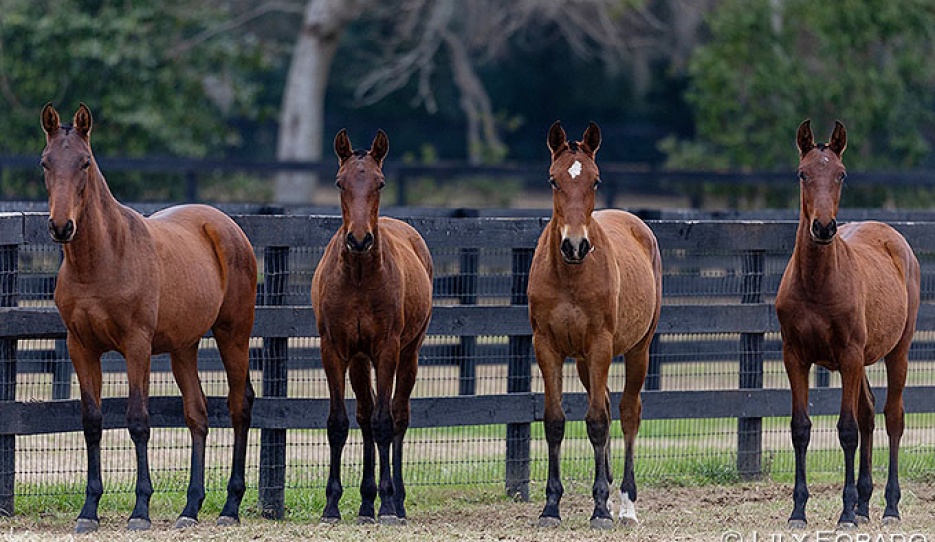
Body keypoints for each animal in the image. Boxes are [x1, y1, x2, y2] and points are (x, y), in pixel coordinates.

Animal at [40, 104, 257, 533]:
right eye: (45, 162)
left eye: (85, 163)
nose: (61, 226)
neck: (101, 260)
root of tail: (226, 225)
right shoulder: (80, 347)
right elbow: (92, 422)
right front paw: (88, 510)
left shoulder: (136, 346)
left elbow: (138, 420)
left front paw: (140, 510)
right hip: (184, 347)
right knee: (197, 414)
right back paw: (190, 508)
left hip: (233, 336)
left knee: (239, 406)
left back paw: (230, 506)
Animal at [311, 128, 433, 525]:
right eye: (340, 182)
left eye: (380, 183)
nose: (360, 239)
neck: (360, 277)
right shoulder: (334, 350)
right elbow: (339, 423)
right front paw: (332, 506)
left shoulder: (387, 349)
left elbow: (384, 421)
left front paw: (390, 504)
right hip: (360, 361)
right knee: (364, 416)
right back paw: (366, 503)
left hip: (408, 354)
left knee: (397, 417)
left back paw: (397, 501)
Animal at [527, 121, 662, 529]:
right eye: (553, 180)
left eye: (596, 180)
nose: (575, 245)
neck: (571, 275)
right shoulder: (547, 347)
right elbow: (555, 421)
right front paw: (551, 507)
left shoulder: (601, 345)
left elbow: (599, 423)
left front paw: (601, 509)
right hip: (586, 363)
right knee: (603, 402)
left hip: (637, 350)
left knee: (628, 412)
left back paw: (626, 505)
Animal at [776, 120, 920, 529]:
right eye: (802, 173)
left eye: (841, 174)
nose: (824, 228)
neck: (816, 283)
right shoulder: (795, 357)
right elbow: (801, 428)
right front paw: (798, 511)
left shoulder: (850, 355)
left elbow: (846, 430)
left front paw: (845, 514)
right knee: (869, 411)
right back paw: (865, 503)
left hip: (895, 351)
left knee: (891, 417)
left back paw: (888, 507)